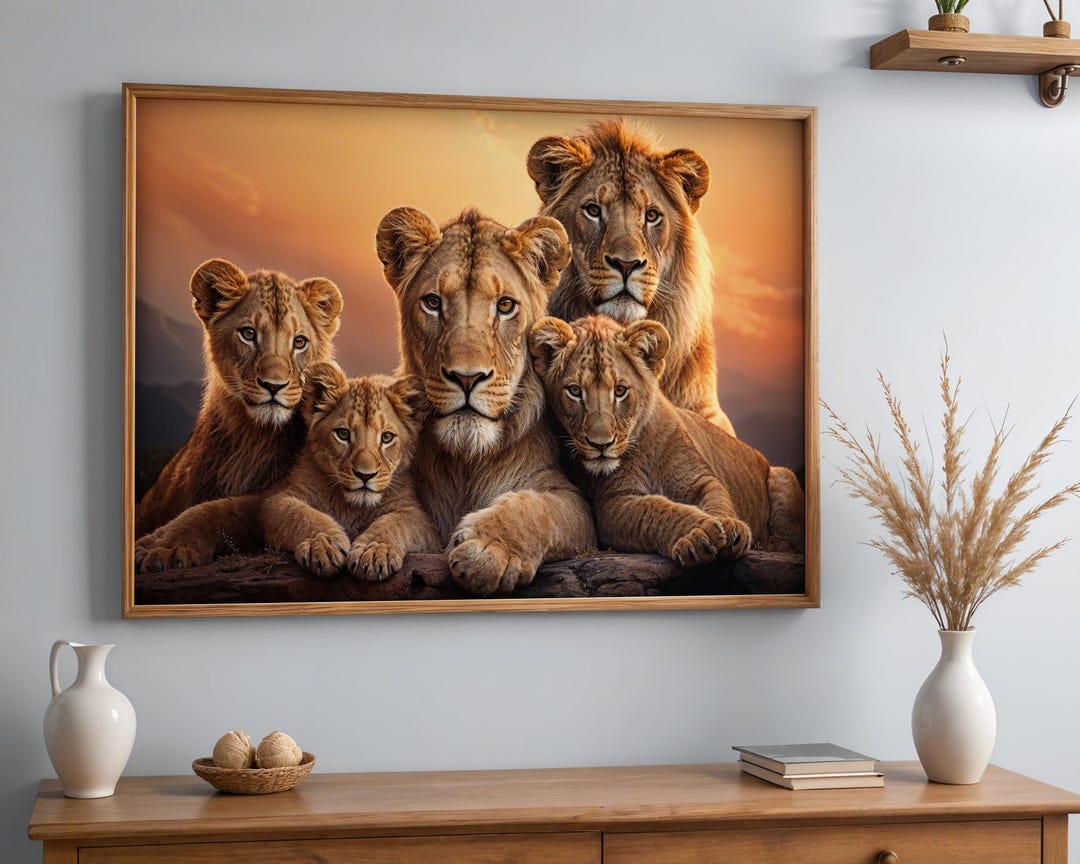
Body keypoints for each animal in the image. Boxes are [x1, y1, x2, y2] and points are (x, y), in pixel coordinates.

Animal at [135, 363, 440, 579]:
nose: (365, 476)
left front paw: (375, 552)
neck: (351, 505)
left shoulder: (418, 515)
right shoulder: (279, 497)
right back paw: (157, 549)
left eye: (387, 438)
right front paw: (323, 544)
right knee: (197, 514)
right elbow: (302, 515)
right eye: (343, 434)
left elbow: (393, 523)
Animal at [375, 206, 597, 596]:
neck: (465, 462)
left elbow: (540, 510)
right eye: (433, 303)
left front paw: (488, 550)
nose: (467, 378)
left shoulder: (572, 501)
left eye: (505, 305)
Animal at [529, 315, 803, 566]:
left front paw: (730, 526)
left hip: (782, 475)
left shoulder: (700, 480)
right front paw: (700, 533)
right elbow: (659, 510)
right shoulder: (612, 504)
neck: (643, 451)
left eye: (620, 391)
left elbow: (718, 500)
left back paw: (773, 544)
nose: (601, 444)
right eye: (574, 391)